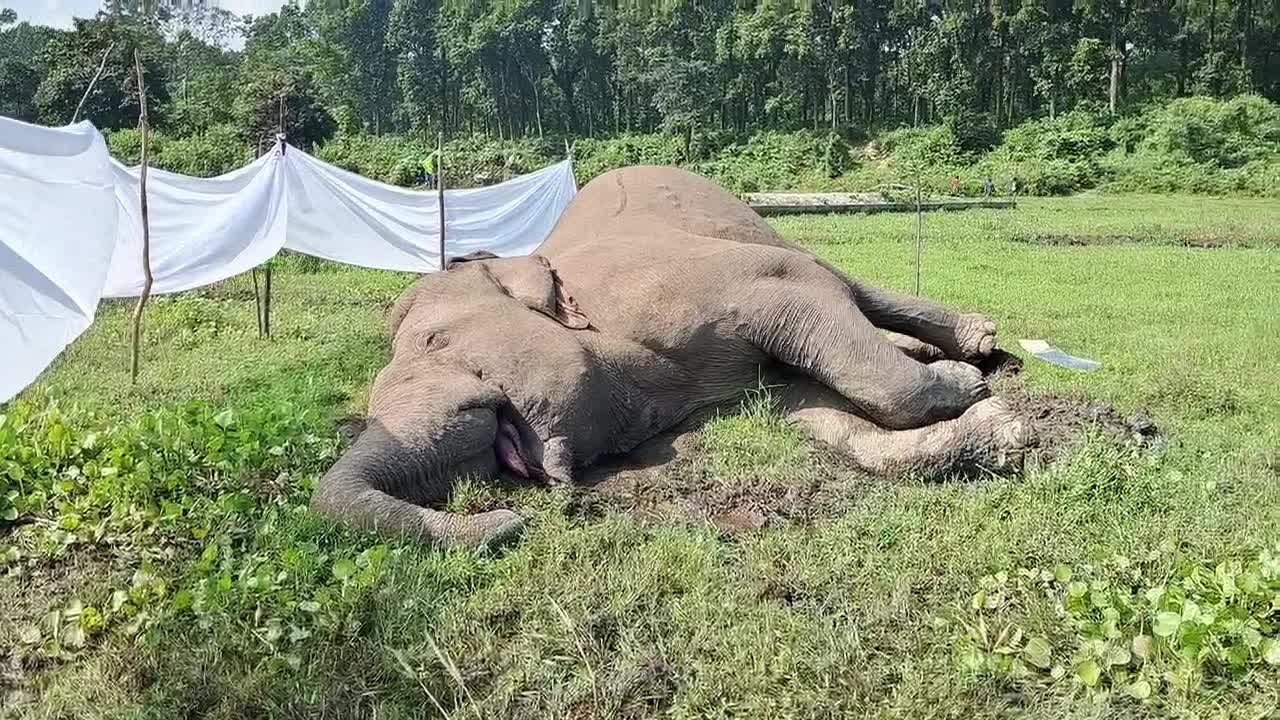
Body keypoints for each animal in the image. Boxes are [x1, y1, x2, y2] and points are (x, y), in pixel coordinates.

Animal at [310, 166, 1031, 550]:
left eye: (434, 342)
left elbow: (818, 314)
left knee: (842, 280)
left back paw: (975, 342)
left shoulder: (705, 286)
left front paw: (970, 384)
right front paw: (999, 433)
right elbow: (811, 412)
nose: (511, 523)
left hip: (754, 227)